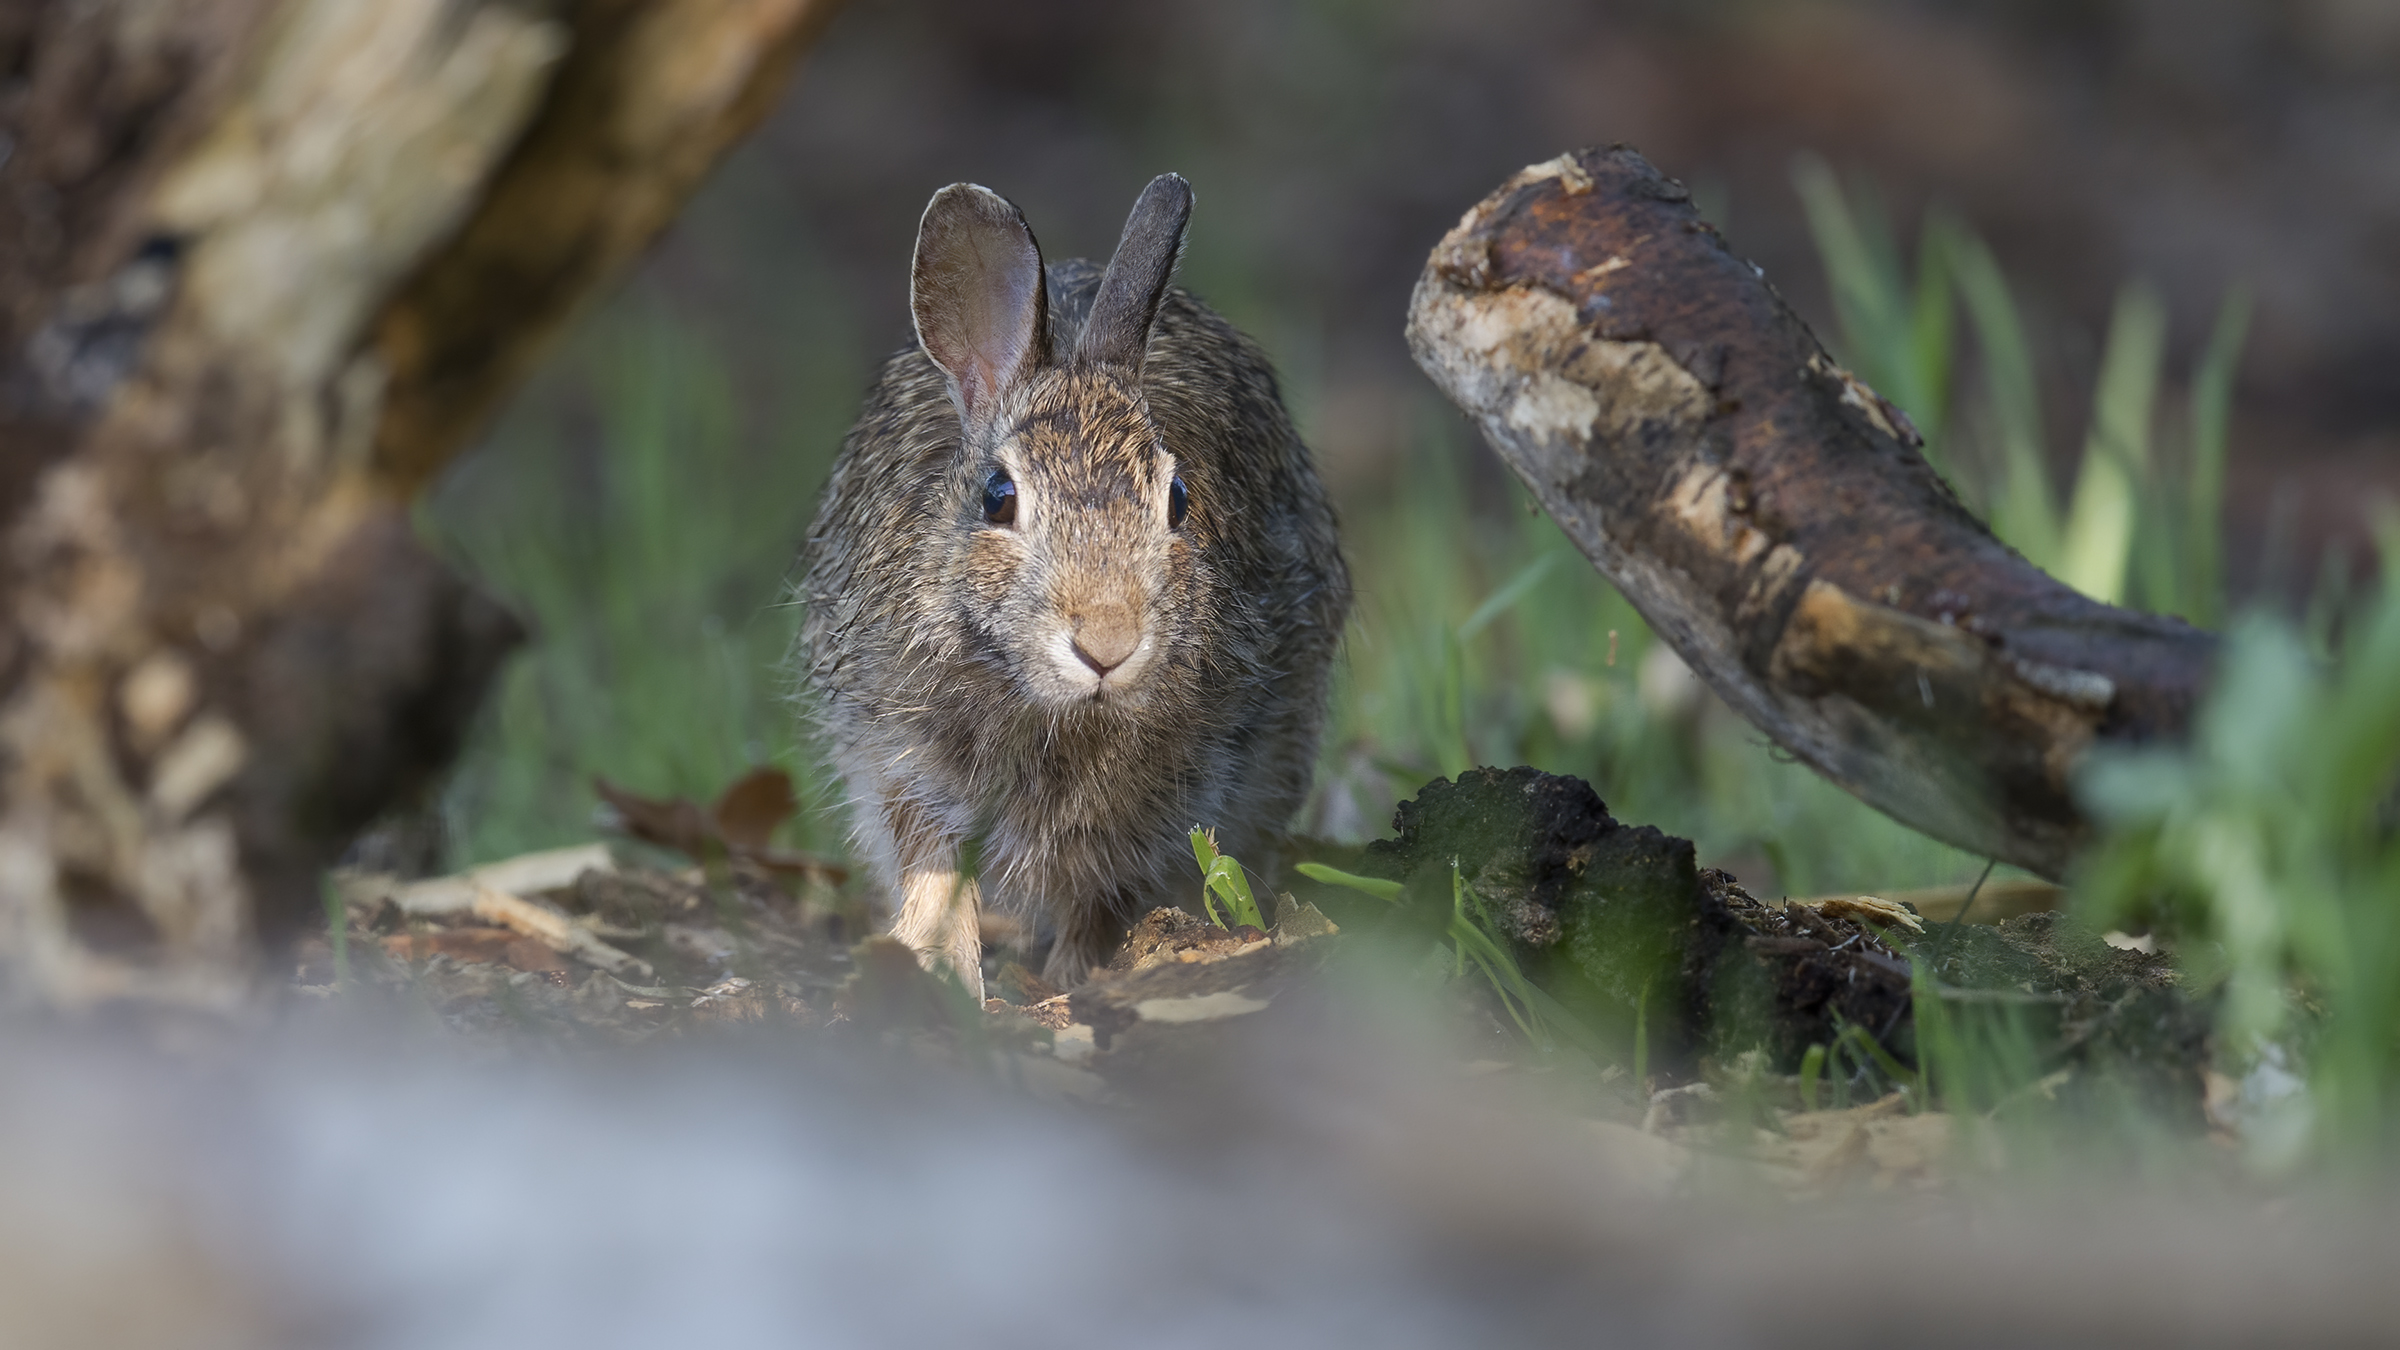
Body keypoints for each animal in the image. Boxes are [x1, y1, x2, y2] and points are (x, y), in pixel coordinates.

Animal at [796, 174, 1350, 999]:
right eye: (998, 497)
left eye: (1179, 498)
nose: (1107, 643)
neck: (1050, 705)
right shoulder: (897, 755)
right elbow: (932, 868)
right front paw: (943, 972)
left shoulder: (1167, 798)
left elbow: (1100, 893)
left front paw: (1072, 979)